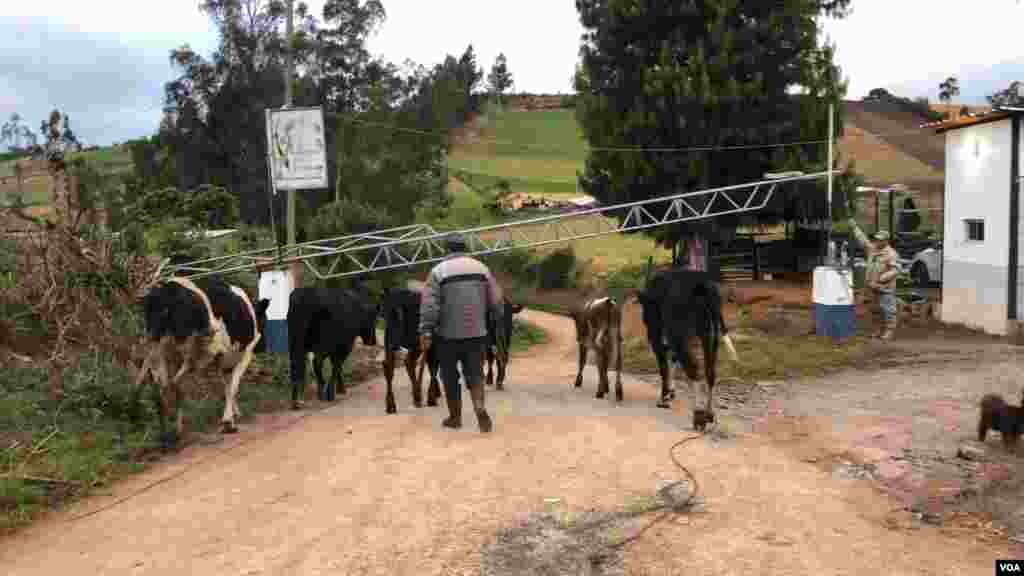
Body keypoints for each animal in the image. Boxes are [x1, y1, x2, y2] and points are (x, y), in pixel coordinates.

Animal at [138, 274, 270, 444]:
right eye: (265, 321)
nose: (263, 346)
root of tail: (167, 291)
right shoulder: (244, 354)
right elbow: (232, 387)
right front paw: (228, 422)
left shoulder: (222, 361)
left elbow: (226, 387)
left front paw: (233, 415)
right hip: (196, 352)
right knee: (175, 384)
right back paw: (175, 431)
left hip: (158, 350)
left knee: (163, 388)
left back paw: (167, 434)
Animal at [630, 268, 737, 430]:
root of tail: (703, 285)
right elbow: (673, 361)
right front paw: (671, 392)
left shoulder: (656, 336)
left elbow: (664, 367)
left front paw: (664, 397)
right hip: (710, 335)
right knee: (710, 371)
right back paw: (709, 413)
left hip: (679, 334)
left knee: (693, 369)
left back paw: (698, 416)